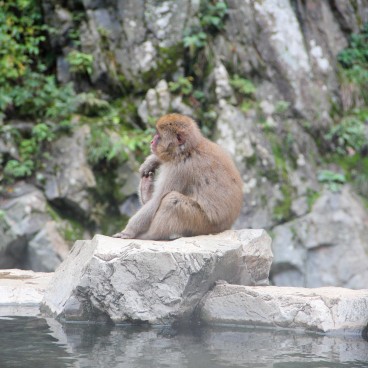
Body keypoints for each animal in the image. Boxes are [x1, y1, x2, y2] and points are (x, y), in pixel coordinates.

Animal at [113, 112, 243, 240]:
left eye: (158, 136)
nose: (151, 142)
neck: (187, 150)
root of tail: (225, 227)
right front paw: (151, 161)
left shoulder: (179, 170)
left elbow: (156, 202)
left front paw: (128, 231)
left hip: (202, 224)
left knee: (172, 201)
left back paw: (150, 235)